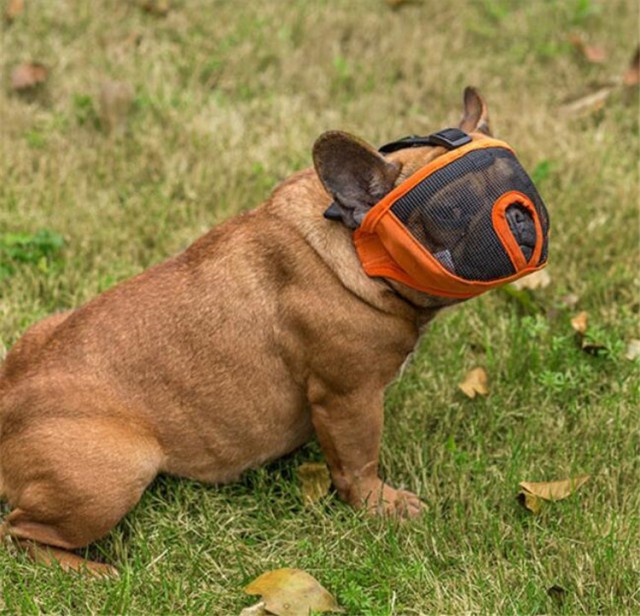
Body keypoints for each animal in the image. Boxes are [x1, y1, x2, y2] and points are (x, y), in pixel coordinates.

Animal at [0, 88, 492, 576]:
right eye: (450, 213)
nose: (512, 217)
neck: (355, 246)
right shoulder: (349, 397)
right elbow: (358, 462)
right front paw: (380, 505)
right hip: (116, 473)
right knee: (20, 533)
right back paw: (92, 572)